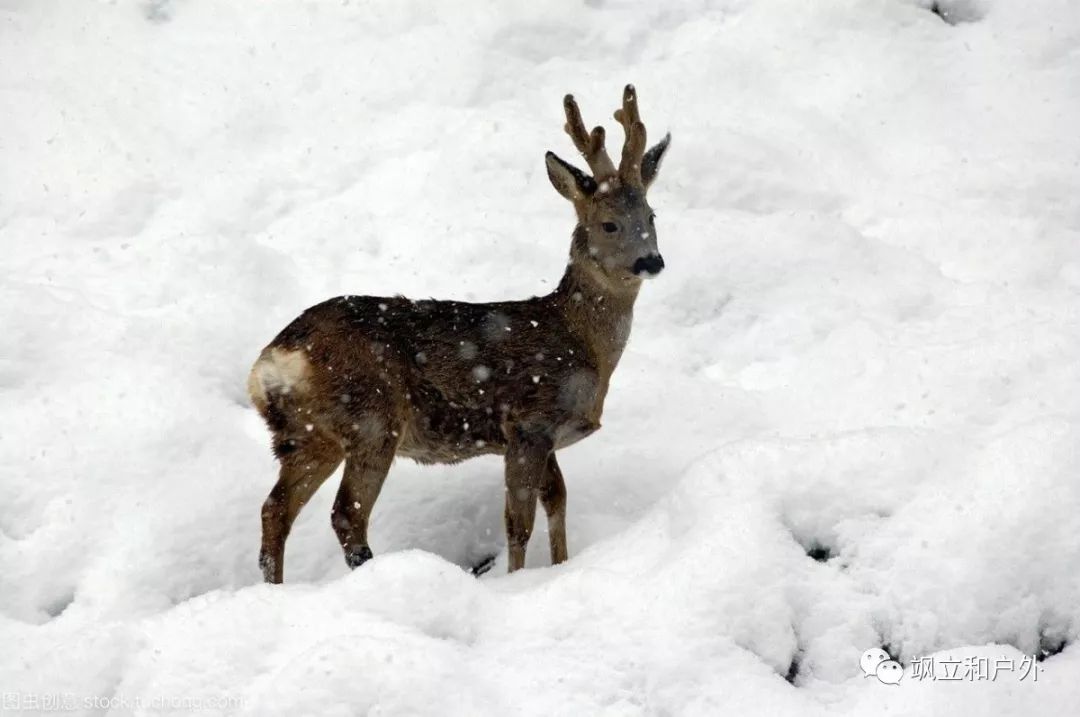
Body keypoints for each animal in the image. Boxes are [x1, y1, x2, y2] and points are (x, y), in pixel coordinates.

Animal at [249, 84, 669, 583]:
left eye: (653, 215)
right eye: (609, 223)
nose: (652, 261)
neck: (582, 344)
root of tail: (271, 363)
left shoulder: (543, 437)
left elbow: (558, 503)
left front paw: (560, 566)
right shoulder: (527, 422)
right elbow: (518, 521)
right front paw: (516, 581)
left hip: (311, 436)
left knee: (275, 509)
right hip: (371, 418)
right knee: (346, 513)